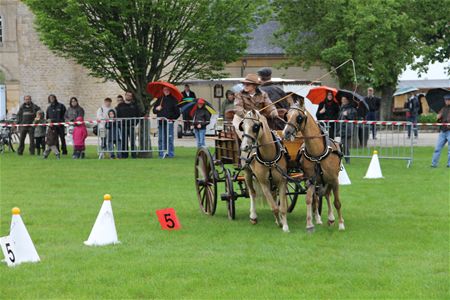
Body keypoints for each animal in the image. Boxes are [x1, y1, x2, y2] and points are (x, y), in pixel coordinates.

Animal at [284, 103, 346, 232]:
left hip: (328, 180)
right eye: (286, 116)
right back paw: (321, 218)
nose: (286, 132)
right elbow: (309, 199)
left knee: (326, 195)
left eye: (299, 117)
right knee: (318, 197)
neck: (317, 153)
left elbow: (337, 202)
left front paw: (341, 224)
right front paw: (309, 224)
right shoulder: (311, 180)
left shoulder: (334, 179)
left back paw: (331, 218)